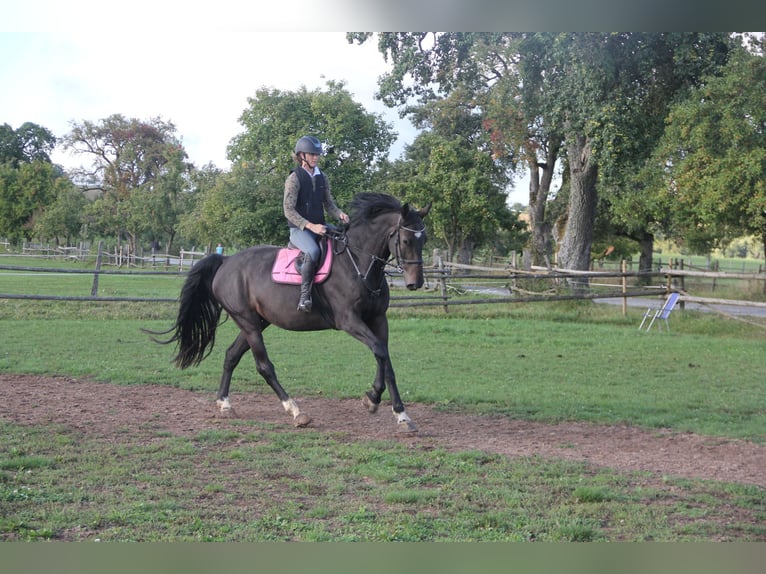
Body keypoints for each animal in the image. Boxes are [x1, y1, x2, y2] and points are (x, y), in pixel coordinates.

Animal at [147, 192, 430, 432]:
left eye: (424, 240)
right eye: (406, 240)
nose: (415, 283)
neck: (358, 264)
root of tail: (226, 261)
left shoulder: (378, 320)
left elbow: (385, 359)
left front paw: (395, 411)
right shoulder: (349, 321)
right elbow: (380, 352)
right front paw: (375, 400)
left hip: (257, 322)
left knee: (231, 356)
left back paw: (225, 404)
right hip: (248, 322)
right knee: (264, 366)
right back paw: (295, 410)